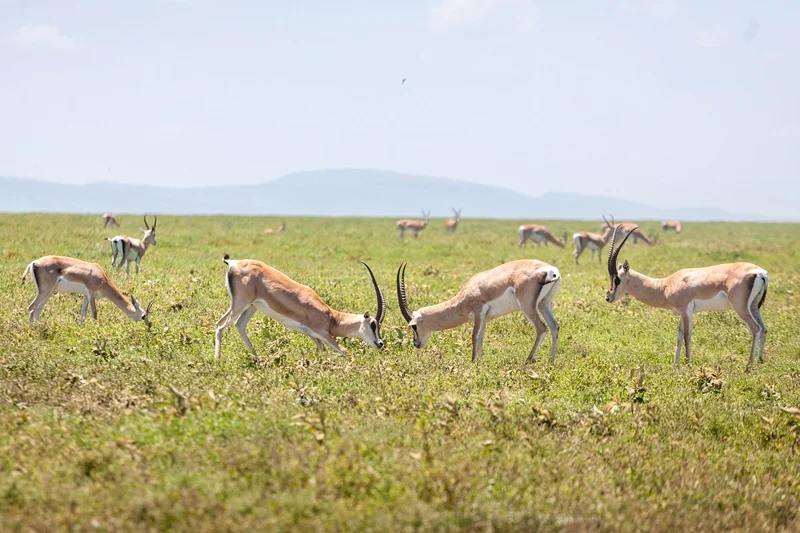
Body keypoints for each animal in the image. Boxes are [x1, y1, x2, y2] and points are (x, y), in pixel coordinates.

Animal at [21, 256, 153, 326]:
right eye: (143, 316)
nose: (149, 325)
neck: (101, 276)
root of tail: (34, 263)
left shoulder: (85, 296)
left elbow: (83, 314)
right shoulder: (91, 294)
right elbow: (94, 314)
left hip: (48, 293)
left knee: (36, 312)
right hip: (45, 291)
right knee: (31, 309)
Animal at [214, 257, 386, 360]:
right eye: (373, 324)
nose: (380, 343)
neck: (331, 317)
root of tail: (232, 262)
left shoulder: (313, 335)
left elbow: (323, 352)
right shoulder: (321, 332)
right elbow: (344, 351)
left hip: (252, 306)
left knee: (239, 325)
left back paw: (257, 358)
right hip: (240, 304)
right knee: (220, 325)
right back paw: (218, 361)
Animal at [396, 260, 561, 364]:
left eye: (414, 326)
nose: (416, 343)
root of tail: (551, 271)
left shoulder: (478, 312)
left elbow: (474, 337)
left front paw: (473, 363)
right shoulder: (485, 318)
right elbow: (481, 337)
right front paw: (480, 364)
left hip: (528, 307)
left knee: (542, 328)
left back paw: (527, 361)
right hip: (544, 305)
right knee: (554, 326)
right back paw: (551, 361)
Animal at [604, 225, 769, 370]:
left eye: (617, 279)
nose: (608, 297)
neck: (665, 285)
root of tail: (760, 272)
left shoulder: (686, 311)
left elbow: (687, 337)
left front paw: (688, 365)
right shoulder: (681, 314)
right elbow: (679, 337)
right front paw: (675, 366)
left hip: (740, 307)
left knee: (756, 328)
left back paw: (748, 367)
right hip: (754, 307)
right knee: (764, 329)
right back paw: (760, 362)